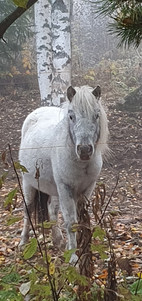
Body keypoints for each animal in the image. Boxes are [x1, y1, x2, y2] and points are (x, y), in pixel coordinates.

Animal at [19, 85, 108, 262]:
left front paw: (83, 248)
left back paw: (58, 241)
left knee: (51, 211)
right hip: (28, 183)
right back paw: (23, 242)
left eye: (96, 115)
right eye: (71, 116)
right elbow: (71, 222)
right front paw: (73, 256)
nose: (85, 150)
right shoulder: (66, 189)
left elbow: (81, 219)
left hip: (54, 190)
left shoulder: (87, 189)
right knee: (28, 210)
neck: (81, 163)